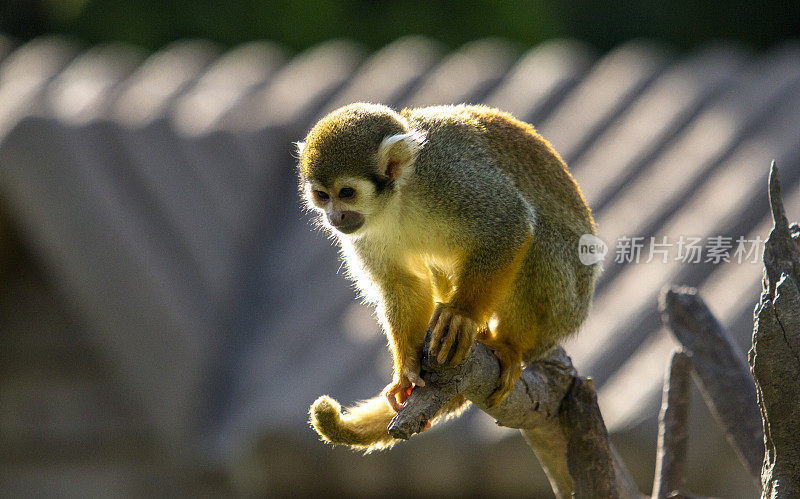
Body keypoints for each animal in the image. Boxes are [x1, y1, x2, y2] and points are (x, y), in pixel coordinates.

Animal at [296, 101, 596, 454]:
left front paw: (461, 315)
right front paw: (407, 369)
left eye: (346, 192)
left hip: (567, 302)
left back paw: (507, 344)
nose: (335, 217)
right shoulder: (363, 233)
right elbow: (403, 283)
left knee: (538, 241)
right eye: (322, 195)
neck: (398, 197)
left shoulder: (447, 177)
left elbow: (510, 224)